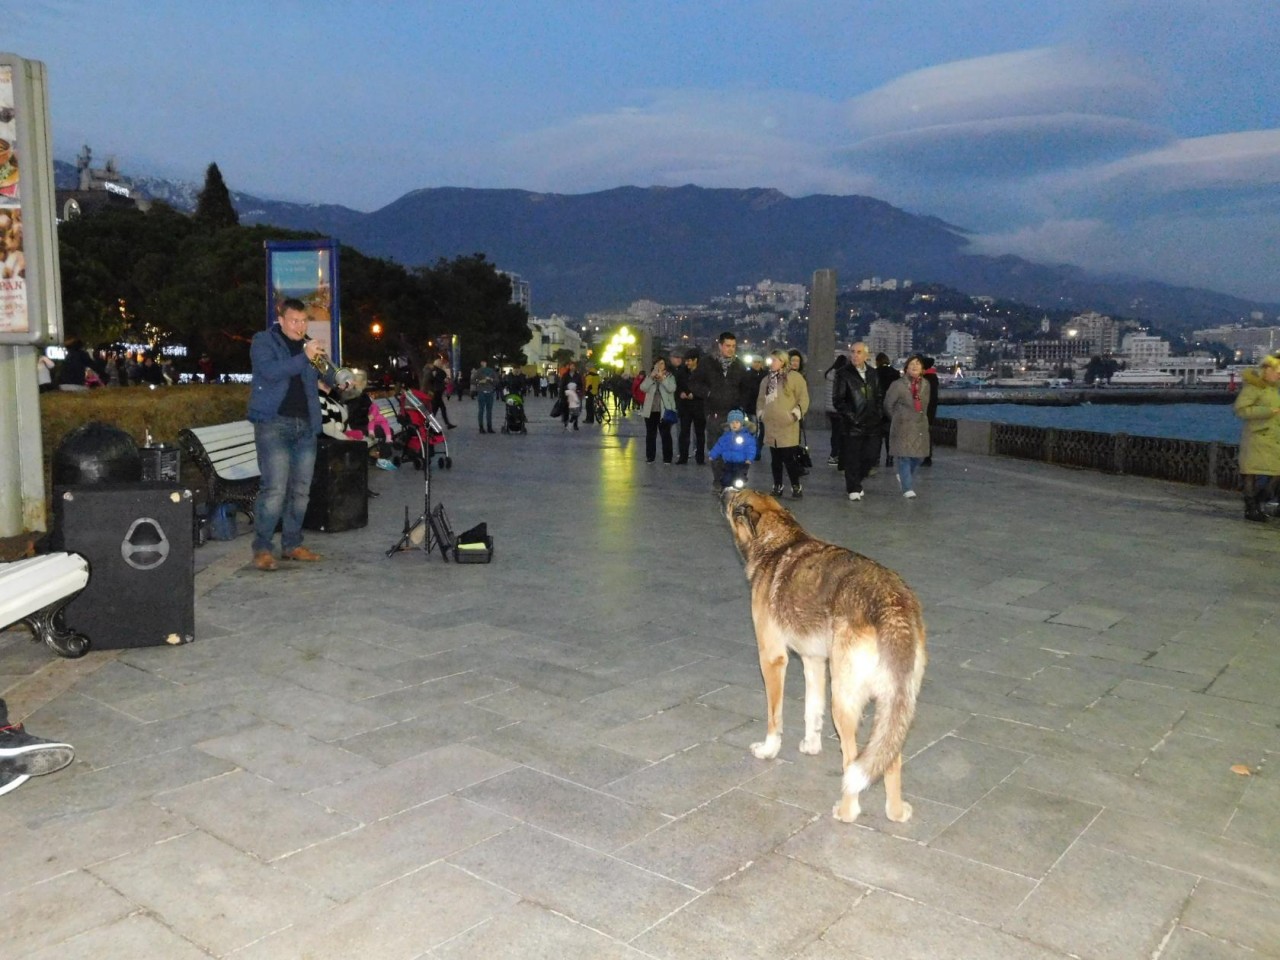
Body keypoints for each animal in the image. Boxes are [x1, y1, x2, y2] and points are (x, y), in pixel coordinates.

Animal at [727, 491, 926, 824]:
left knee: (852, 760)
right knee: (890, 758)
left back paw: (847, 811)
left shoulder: (772, 659)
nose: (723, 490)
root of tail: (891, 605)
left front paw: (769, 750)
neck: (776, 544)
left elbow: (774, 717)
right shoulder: (813, 661)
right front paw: (811, 745)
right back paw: (895, 812)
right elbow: (812, 710)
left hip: (843, 702)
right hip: (892, 706)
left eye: (736, 499)